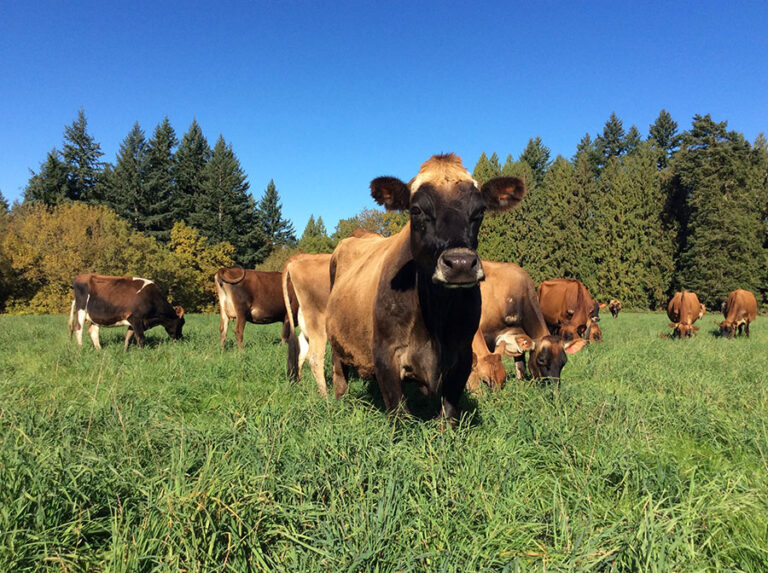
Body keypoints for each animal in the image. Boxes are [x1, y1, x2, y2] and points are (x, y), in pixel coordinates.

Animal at [325, 154, 526, 421]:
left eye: (480, 210)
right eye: (416, 210)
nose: (460, 263)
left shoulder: (461, 356)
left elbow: (449, 413)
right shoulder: (385, 355)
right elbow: (399, 413)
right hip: (336, 345)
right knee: (340, 377)